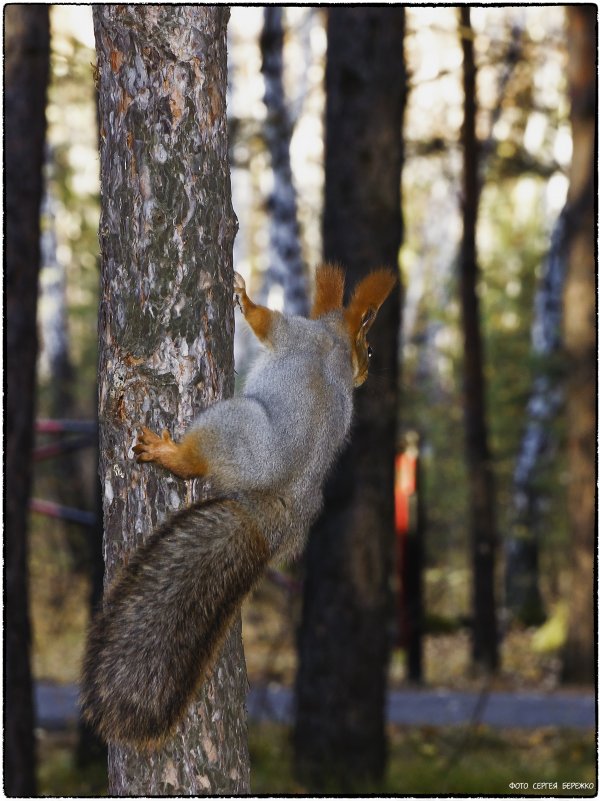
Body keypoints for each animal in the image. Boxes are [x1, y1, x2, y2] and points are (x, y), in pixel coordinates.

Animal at [81, 264, 398, 752]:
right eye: (370, 346)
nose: (364, 374)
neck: (332, 339)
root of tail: (267, 518)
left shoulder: (295, 333)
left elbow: (265, 322)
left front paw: (243, 296)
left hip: (232, 423)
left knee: (197, 459)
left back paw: (171, 453)